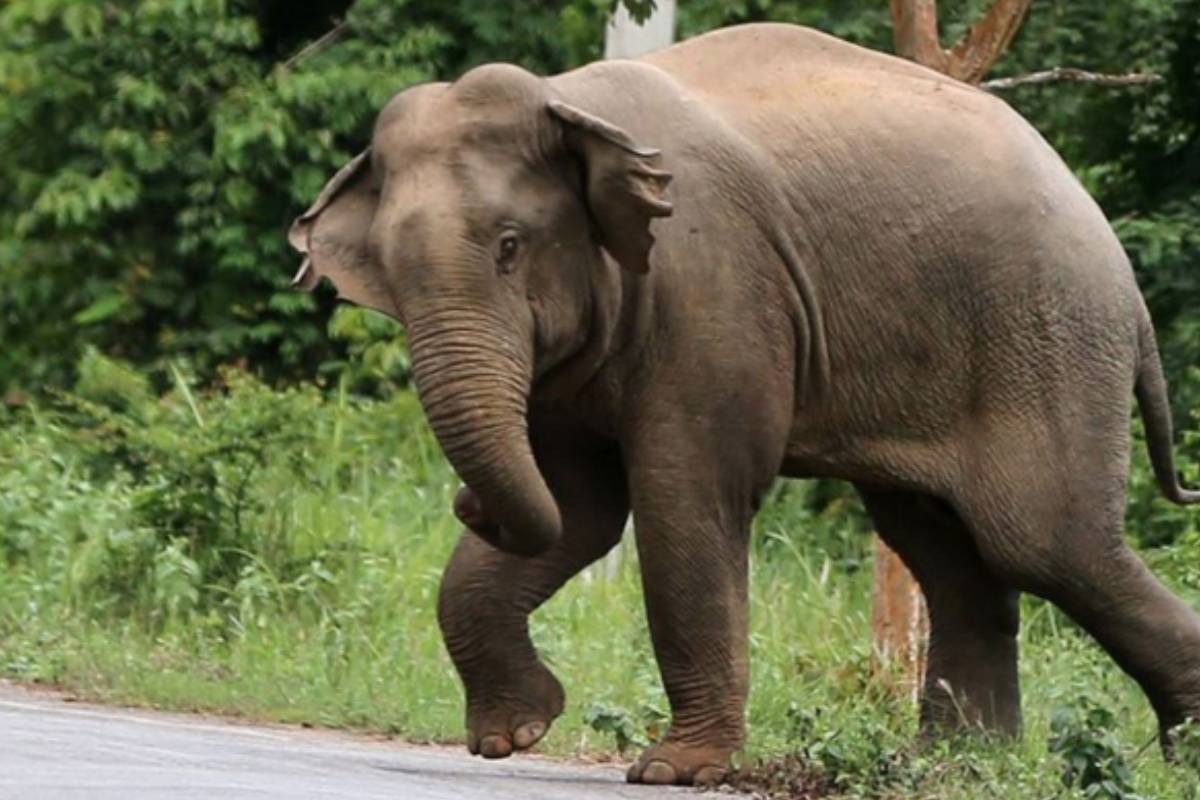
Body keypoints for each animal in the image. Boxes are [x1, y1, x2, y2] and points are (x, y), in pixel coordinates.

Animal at [288, 23, 1200, 786]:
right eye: (388, 273)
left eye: (510, 247)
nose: (463, 502)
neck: (570, 102)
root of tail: (1123, 271)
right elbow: (577, 506)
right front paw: (516, 734)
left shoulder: (714, 284)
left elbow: (684, 495)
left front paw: (674, 772)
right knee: (944, 548)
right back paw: (952, 769)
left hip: (1045, 338)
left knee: (1042, 542)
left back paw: (1173, 756)